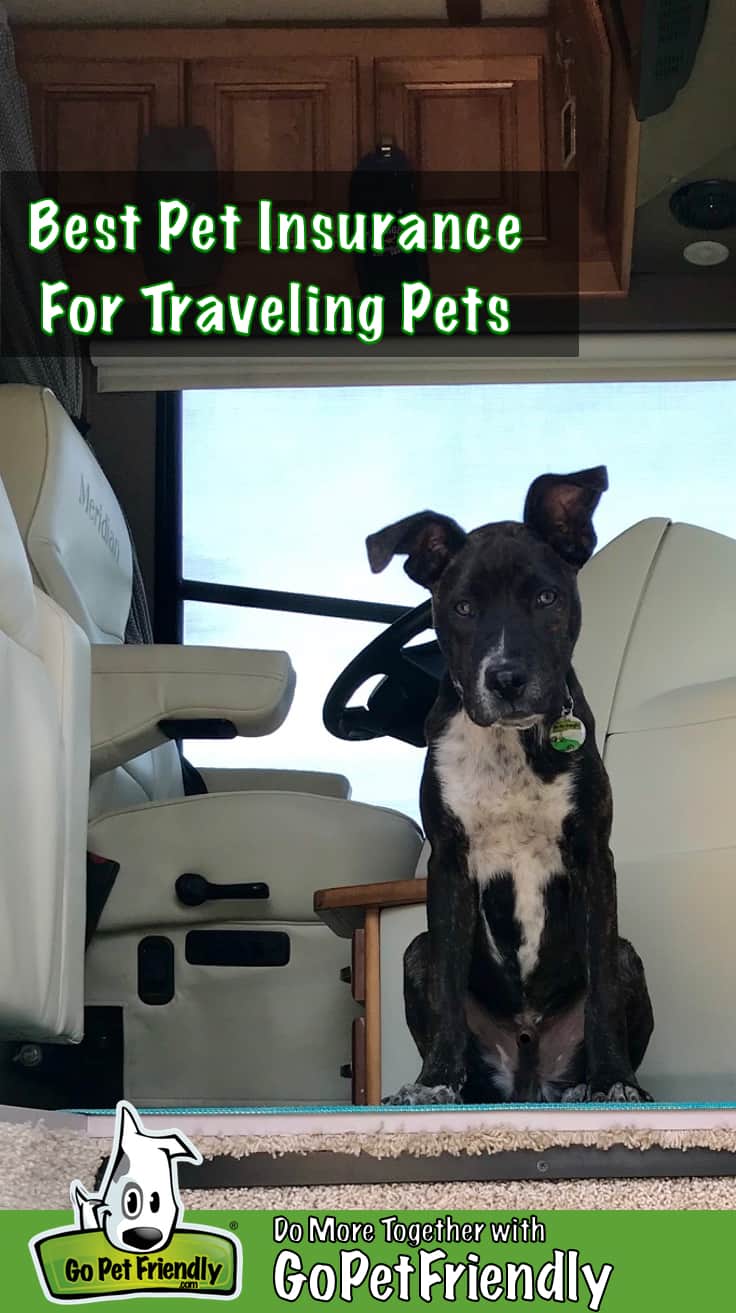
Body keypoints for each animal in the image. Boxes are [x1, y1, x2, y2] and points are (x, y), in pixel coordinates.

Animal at [367, 467, 653, 1102]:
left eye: (546, 597)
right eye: (463, 607)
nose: (506, 679)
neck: (508, 744)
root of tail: (528, 1072)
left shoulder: (592, 855)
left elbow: (600, 992)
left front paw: (614, 1081)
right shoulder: (449, 864)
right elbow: (448, 993)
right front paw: (434, 1083)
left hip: (628, 956)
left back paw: (591, 1085)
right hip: (415, 953)